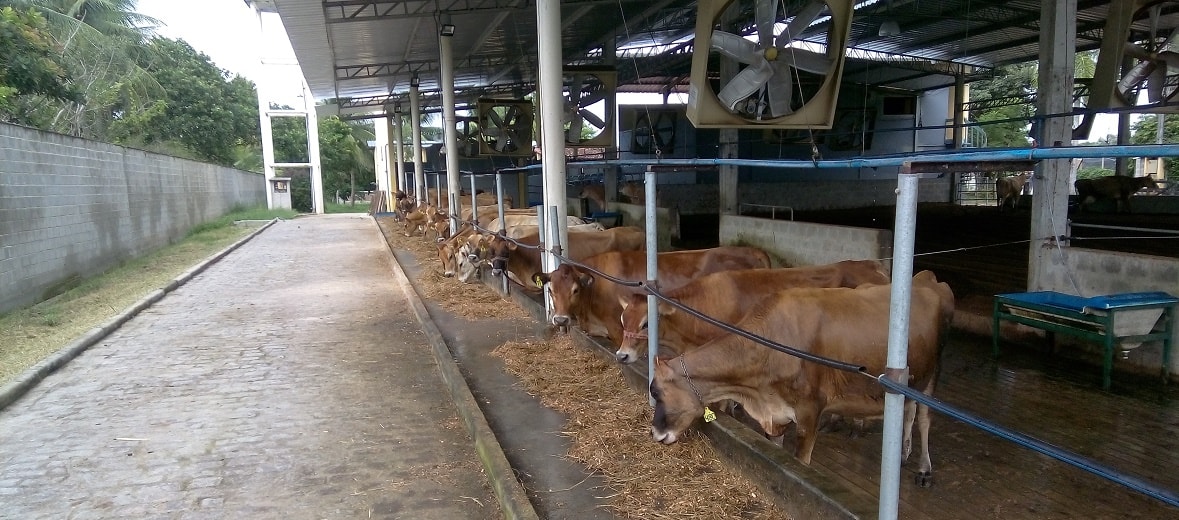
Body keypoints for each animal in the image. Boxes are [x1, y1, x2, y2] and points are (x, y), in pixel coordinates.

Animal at [650, 271, 952, 485]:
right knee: (908, 411)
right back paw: (902, 454)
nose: (655, 434)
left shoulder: (810, 410)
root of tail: (927, 279)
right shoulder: (777, 413)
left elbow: (801, 461)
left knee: (924, 418)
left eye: (657, 393)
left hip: (933, 372)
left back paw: (924, 468)